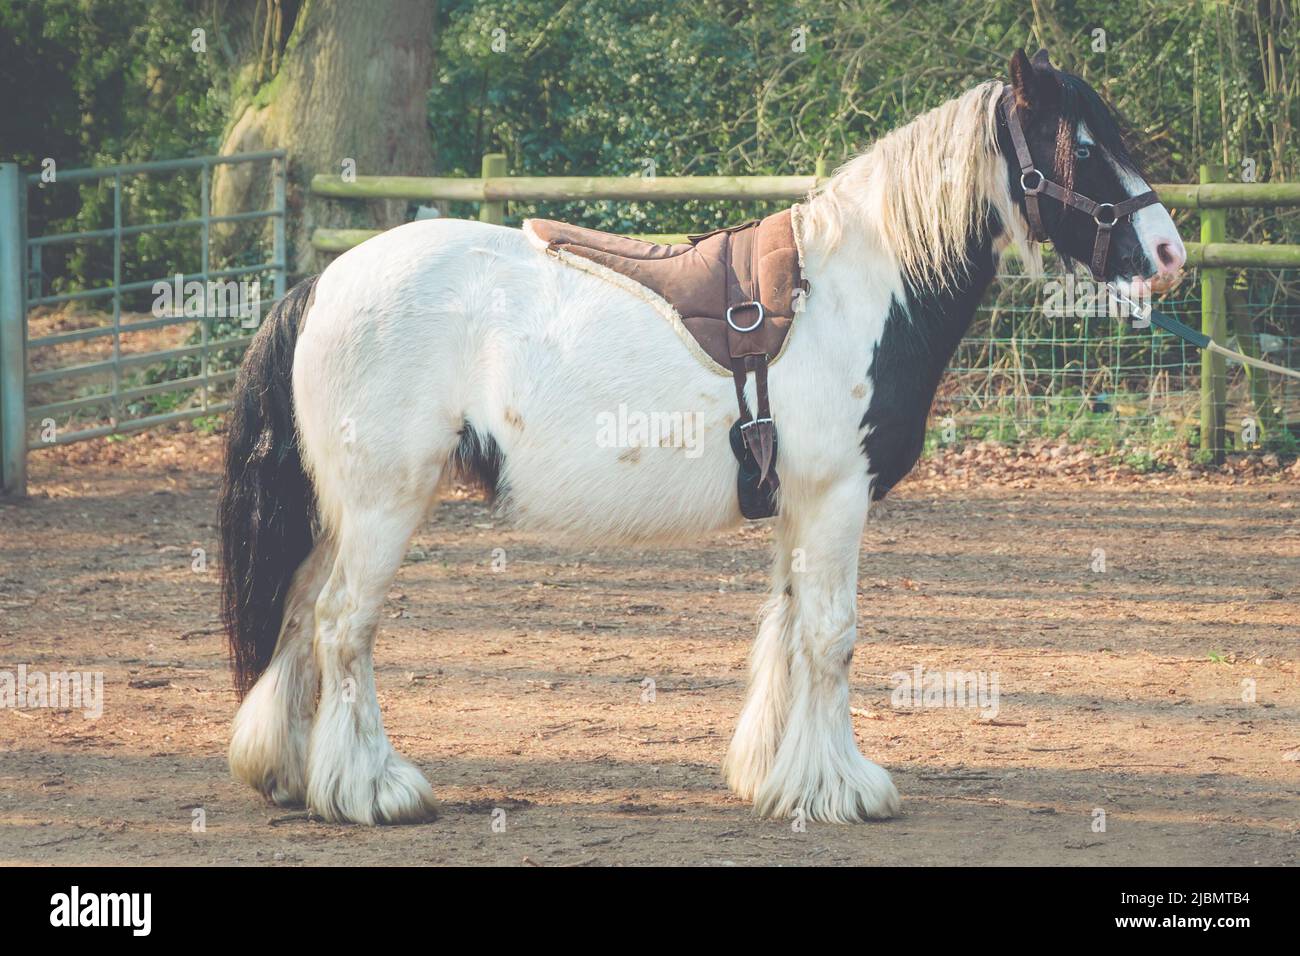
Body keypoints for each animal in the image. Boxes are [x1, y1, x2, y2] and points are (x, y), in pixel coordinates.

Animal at [219, 49, 1186, 825]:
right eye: (1083, 148)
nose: (1169, 255)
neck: (854, 292)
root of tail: (320, 285)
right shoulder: (836, 498)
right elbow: (832, 636)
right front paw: (845, 791)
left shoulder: (802, 506)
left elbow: (790, 630)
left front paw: (781, 779)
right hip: (384, 503)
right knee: (343, 626)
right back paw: (373, 791)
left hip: (337, 512)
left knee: (300, 619)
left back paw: (290, 775)